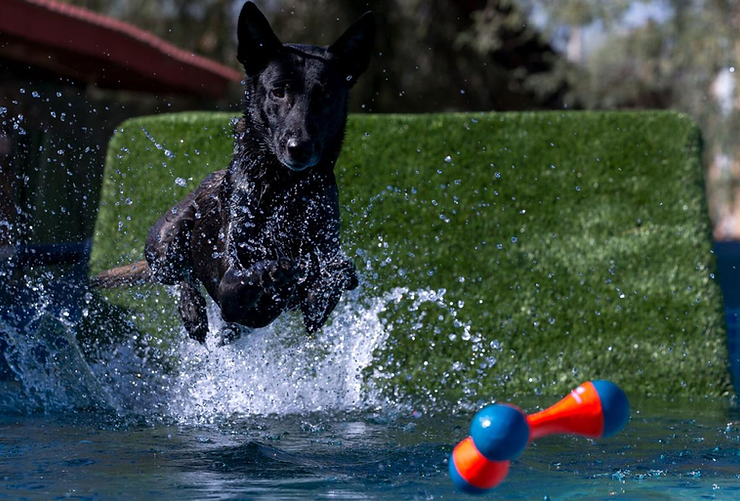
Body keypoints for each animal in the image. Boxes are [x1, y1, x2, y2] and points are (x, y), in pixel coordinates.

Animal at [97, 0, 376, 344]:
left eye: (325, 95)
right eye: (278, 92)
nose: (299, 147)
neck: (285, 190)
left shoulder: (322, 268)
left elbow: (335, 276)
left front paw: (320, 278)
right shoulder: (229, 284)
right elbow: (253, 280)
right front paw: (280, 270)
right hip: (165, 239)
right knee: (180, 277)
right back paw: (193, 310)